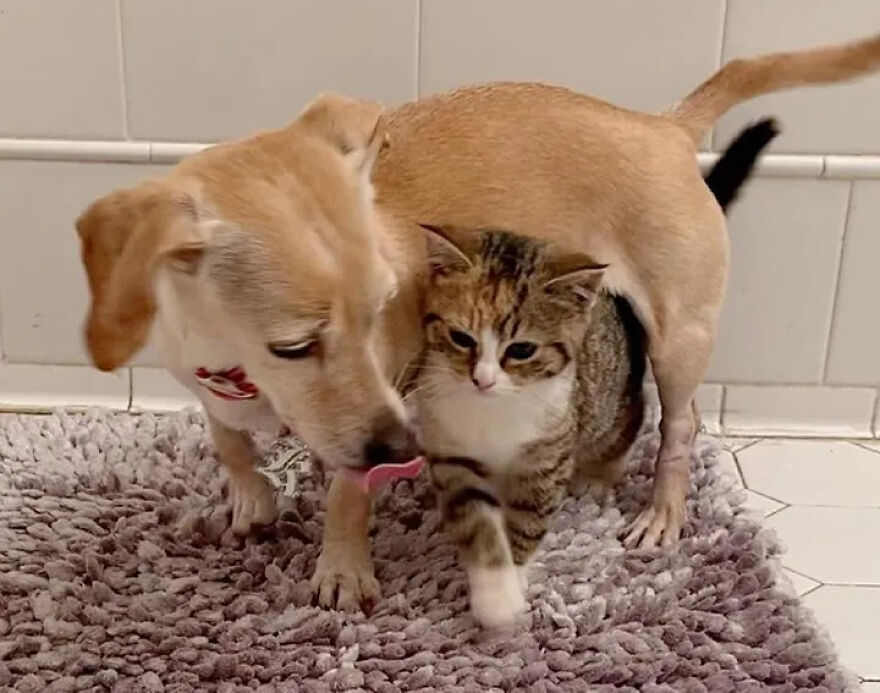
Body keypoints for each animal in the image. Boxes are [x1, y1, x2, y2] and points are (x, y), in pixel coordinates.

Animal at [412, 227, 648, 628]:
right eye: (461, 338)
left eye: (521, 350)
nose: (483, 380)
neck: (494, 409)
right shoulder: (451, 453)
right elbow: (477, 521)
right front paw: (495, 594)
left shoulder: (546, 458)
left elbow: (529, 518)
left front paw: (516, 577)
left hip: (610, 407)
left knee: (628, 424)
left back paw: (598, 475)